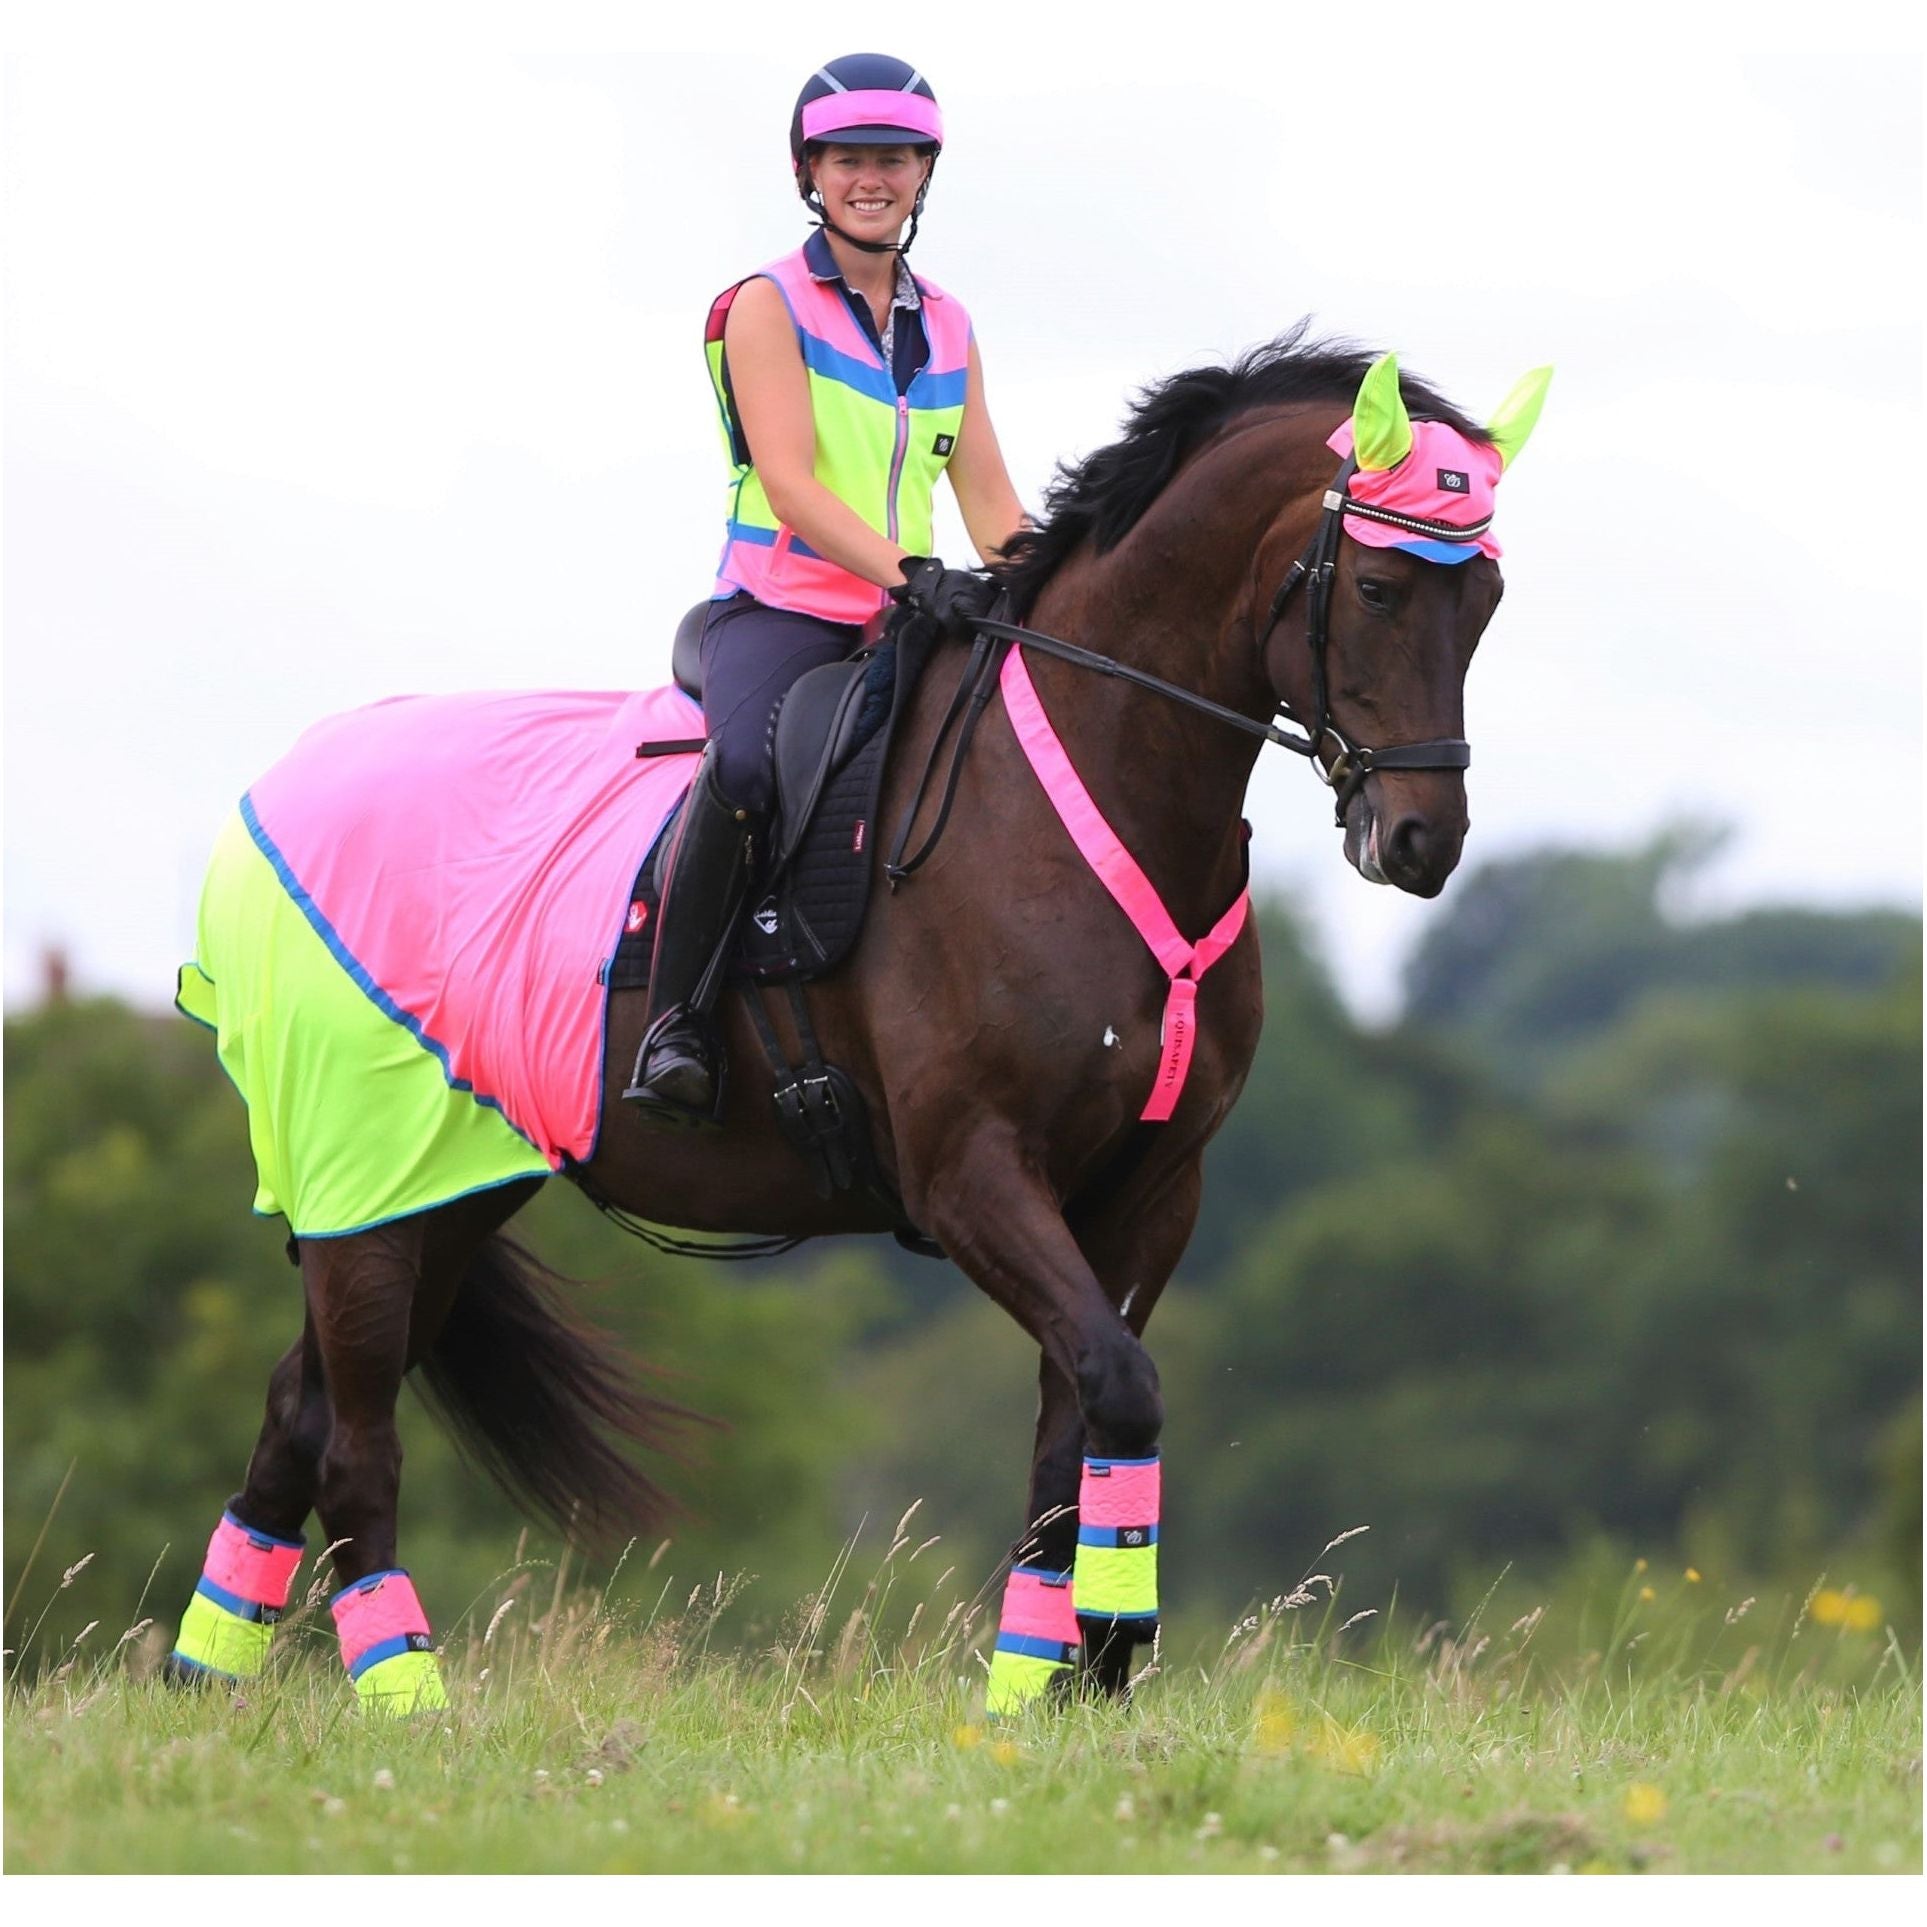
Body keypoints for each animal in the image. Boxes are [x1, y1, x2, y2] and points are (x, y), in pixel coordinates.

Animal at [165, 327, 1549, 1718]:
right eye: (1377, 588)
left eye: (1480, 600)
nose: (1422, 841)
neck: (1078, 794)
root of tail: (267, 800)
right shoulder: (971, 1172)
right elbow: (1119, 1388)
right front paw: (1104, 1652)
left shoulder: (1150, 1189)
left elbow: (1073, 1437)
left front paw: (1047, 1690)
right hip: (370, 1187)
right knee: (354, 1447)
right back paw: (406, 1702)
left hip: (439, 1194)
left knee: (297, 1418)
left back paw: (199, 1687)